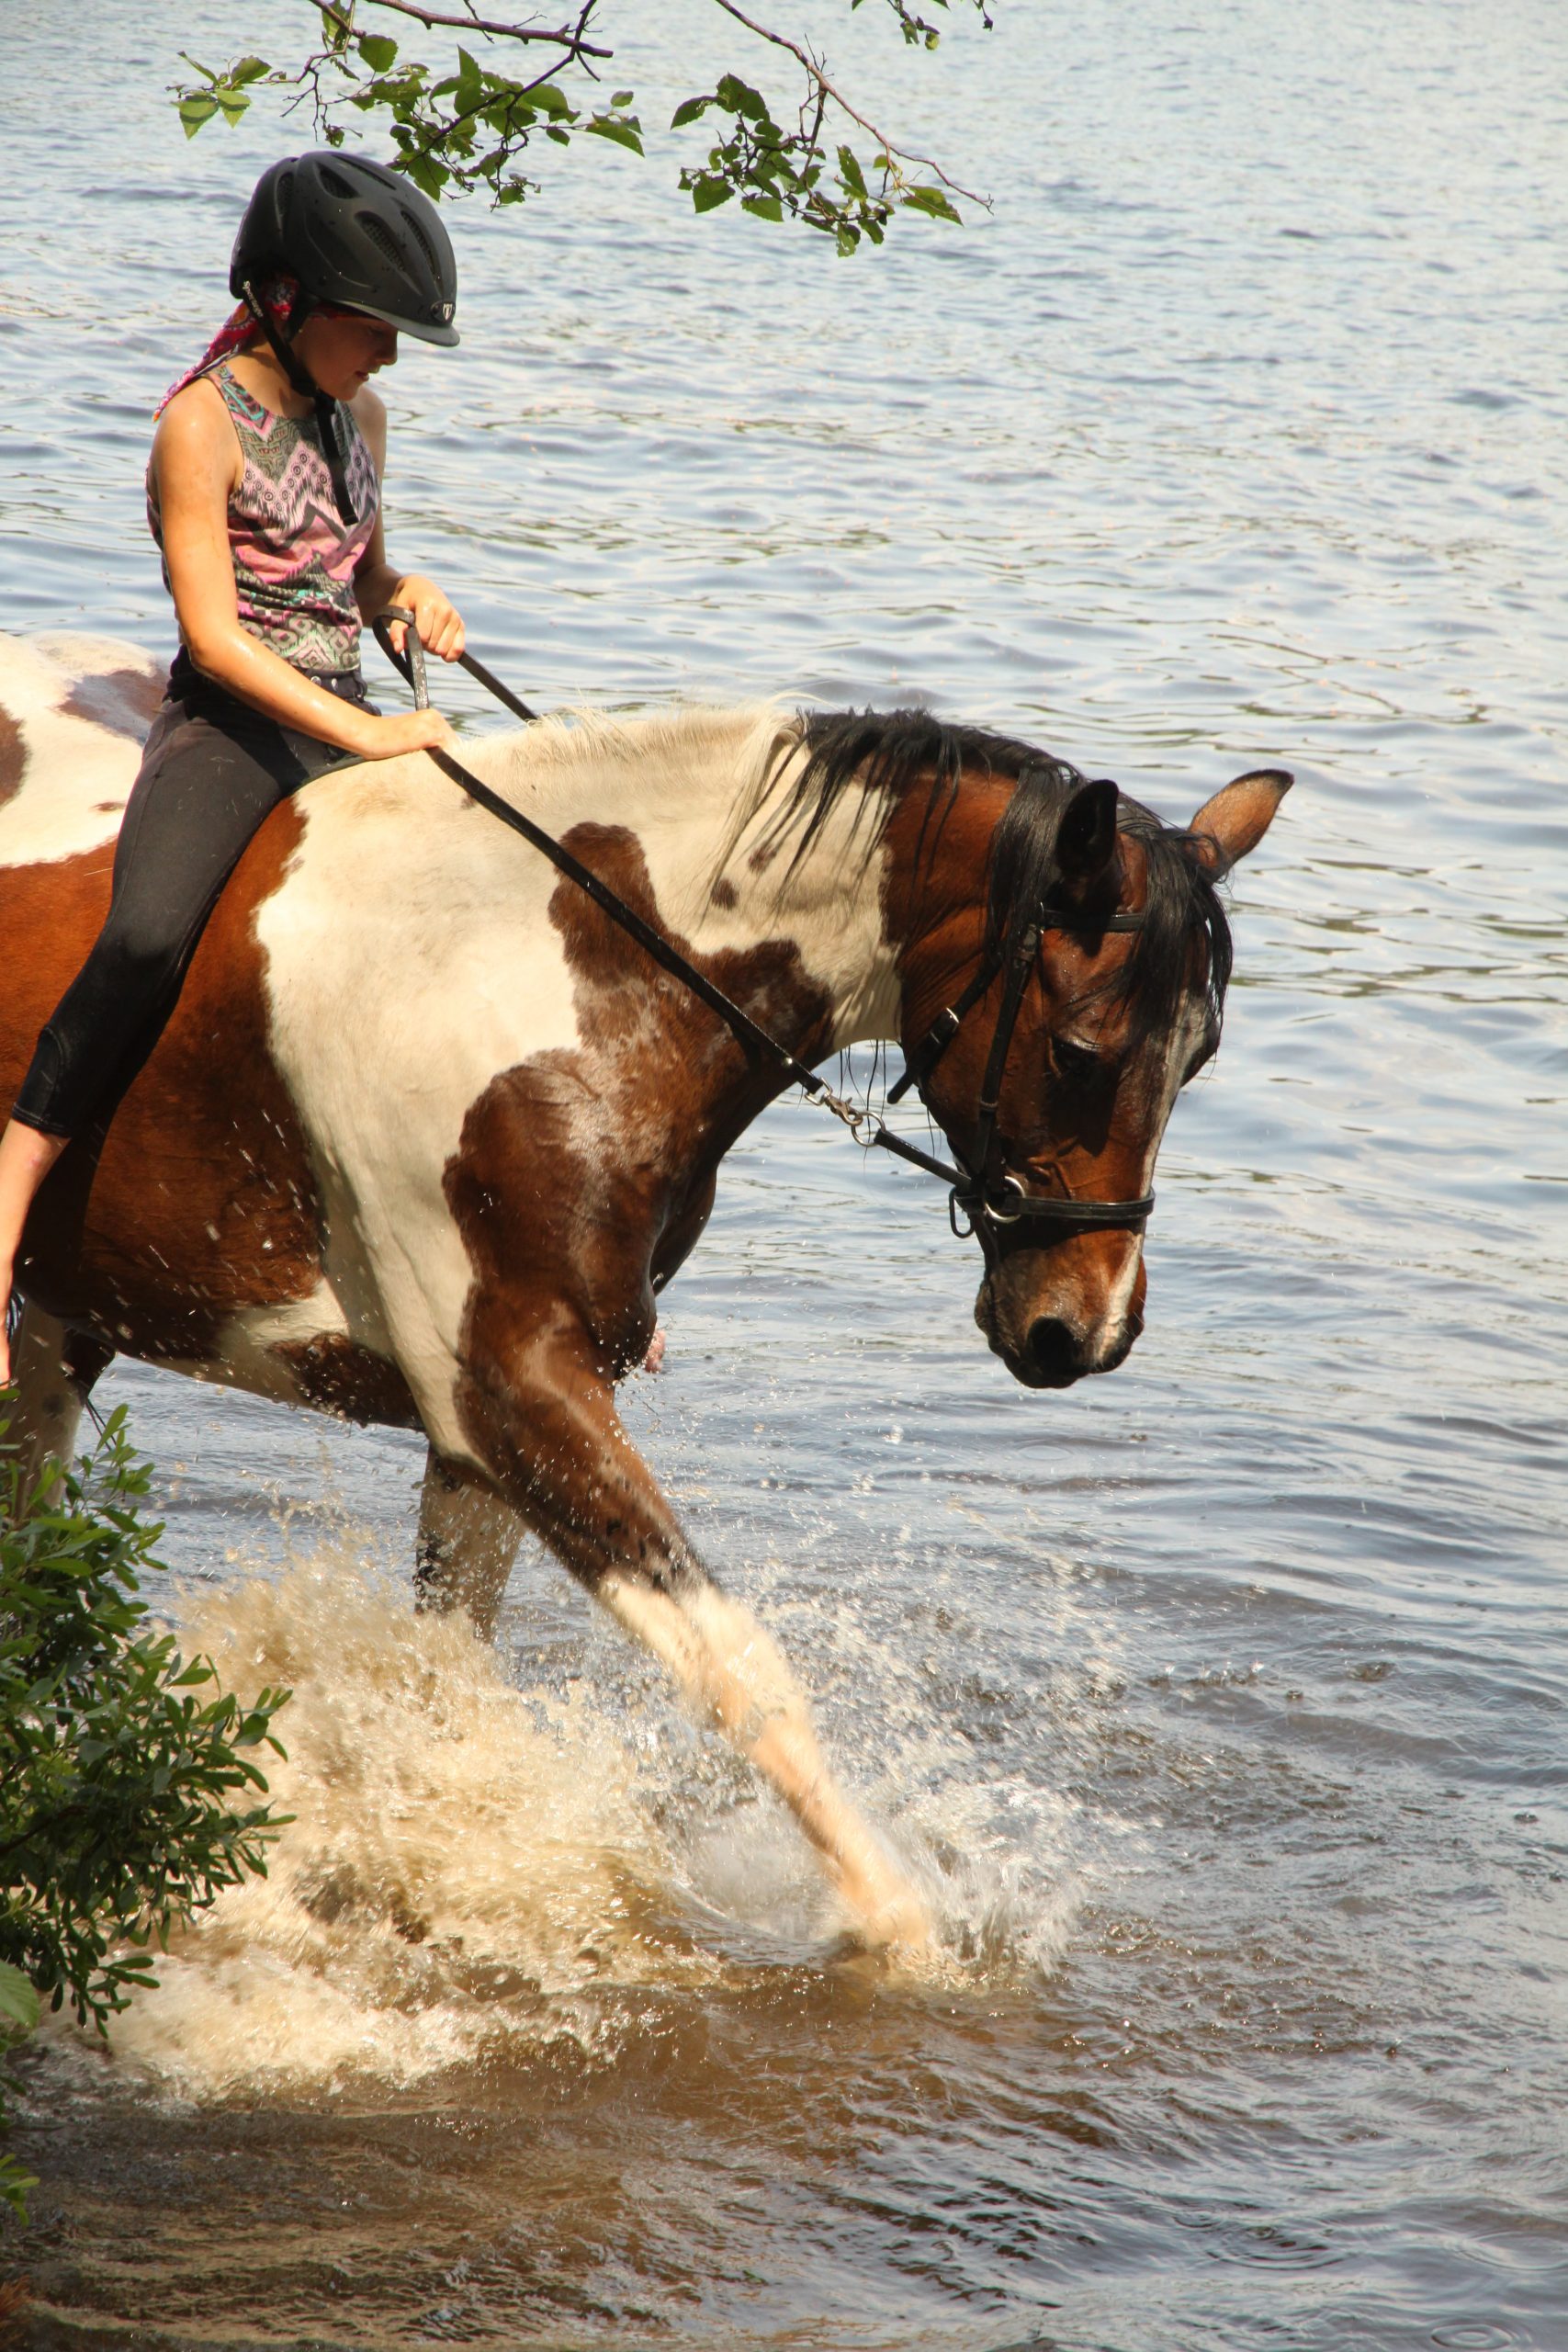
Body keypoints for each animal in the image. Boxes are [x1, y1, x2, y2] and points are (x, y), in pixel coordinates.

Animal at [0, 635, 1297, 1938]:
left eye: (1201, 1056)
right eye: (1080, 1051)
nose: (1087, 1327)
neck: (550, 967)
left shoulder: (486, 1427)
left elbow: (448, 1672)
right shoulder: (514, 1392)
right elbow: (743, 1672)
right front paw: (898, 1925)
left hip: (64, 1314)